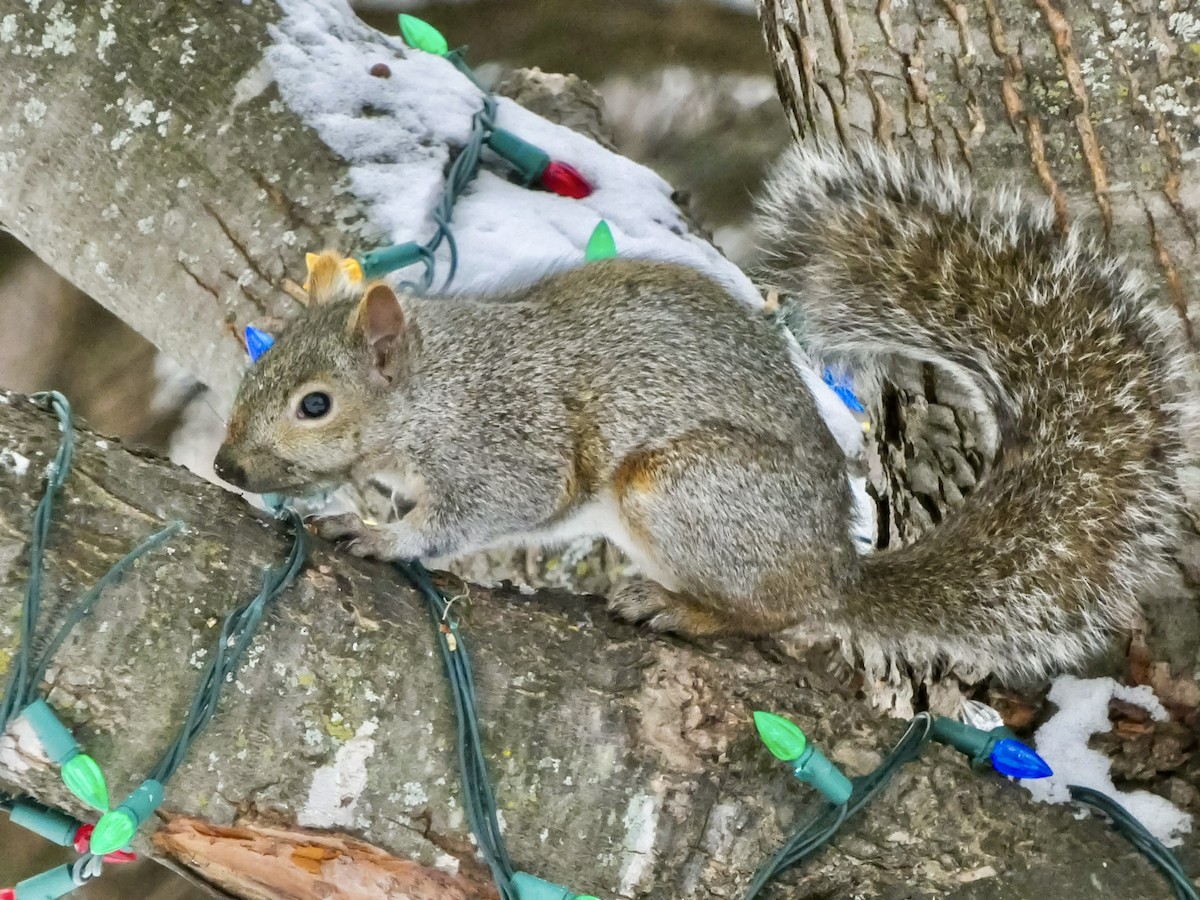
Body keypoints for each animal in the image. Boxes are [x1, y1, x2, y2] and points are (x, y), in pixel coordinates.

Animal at [214, 144, 1189, 680]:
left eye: (314, 404)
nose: (226, 466)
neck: (428, 389)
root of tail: (837, 571)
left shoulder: (508, 436)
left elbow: (488, 506)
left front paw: (386, 533)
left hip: (681, 488)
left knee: (771, 616)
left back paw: (684, 608)